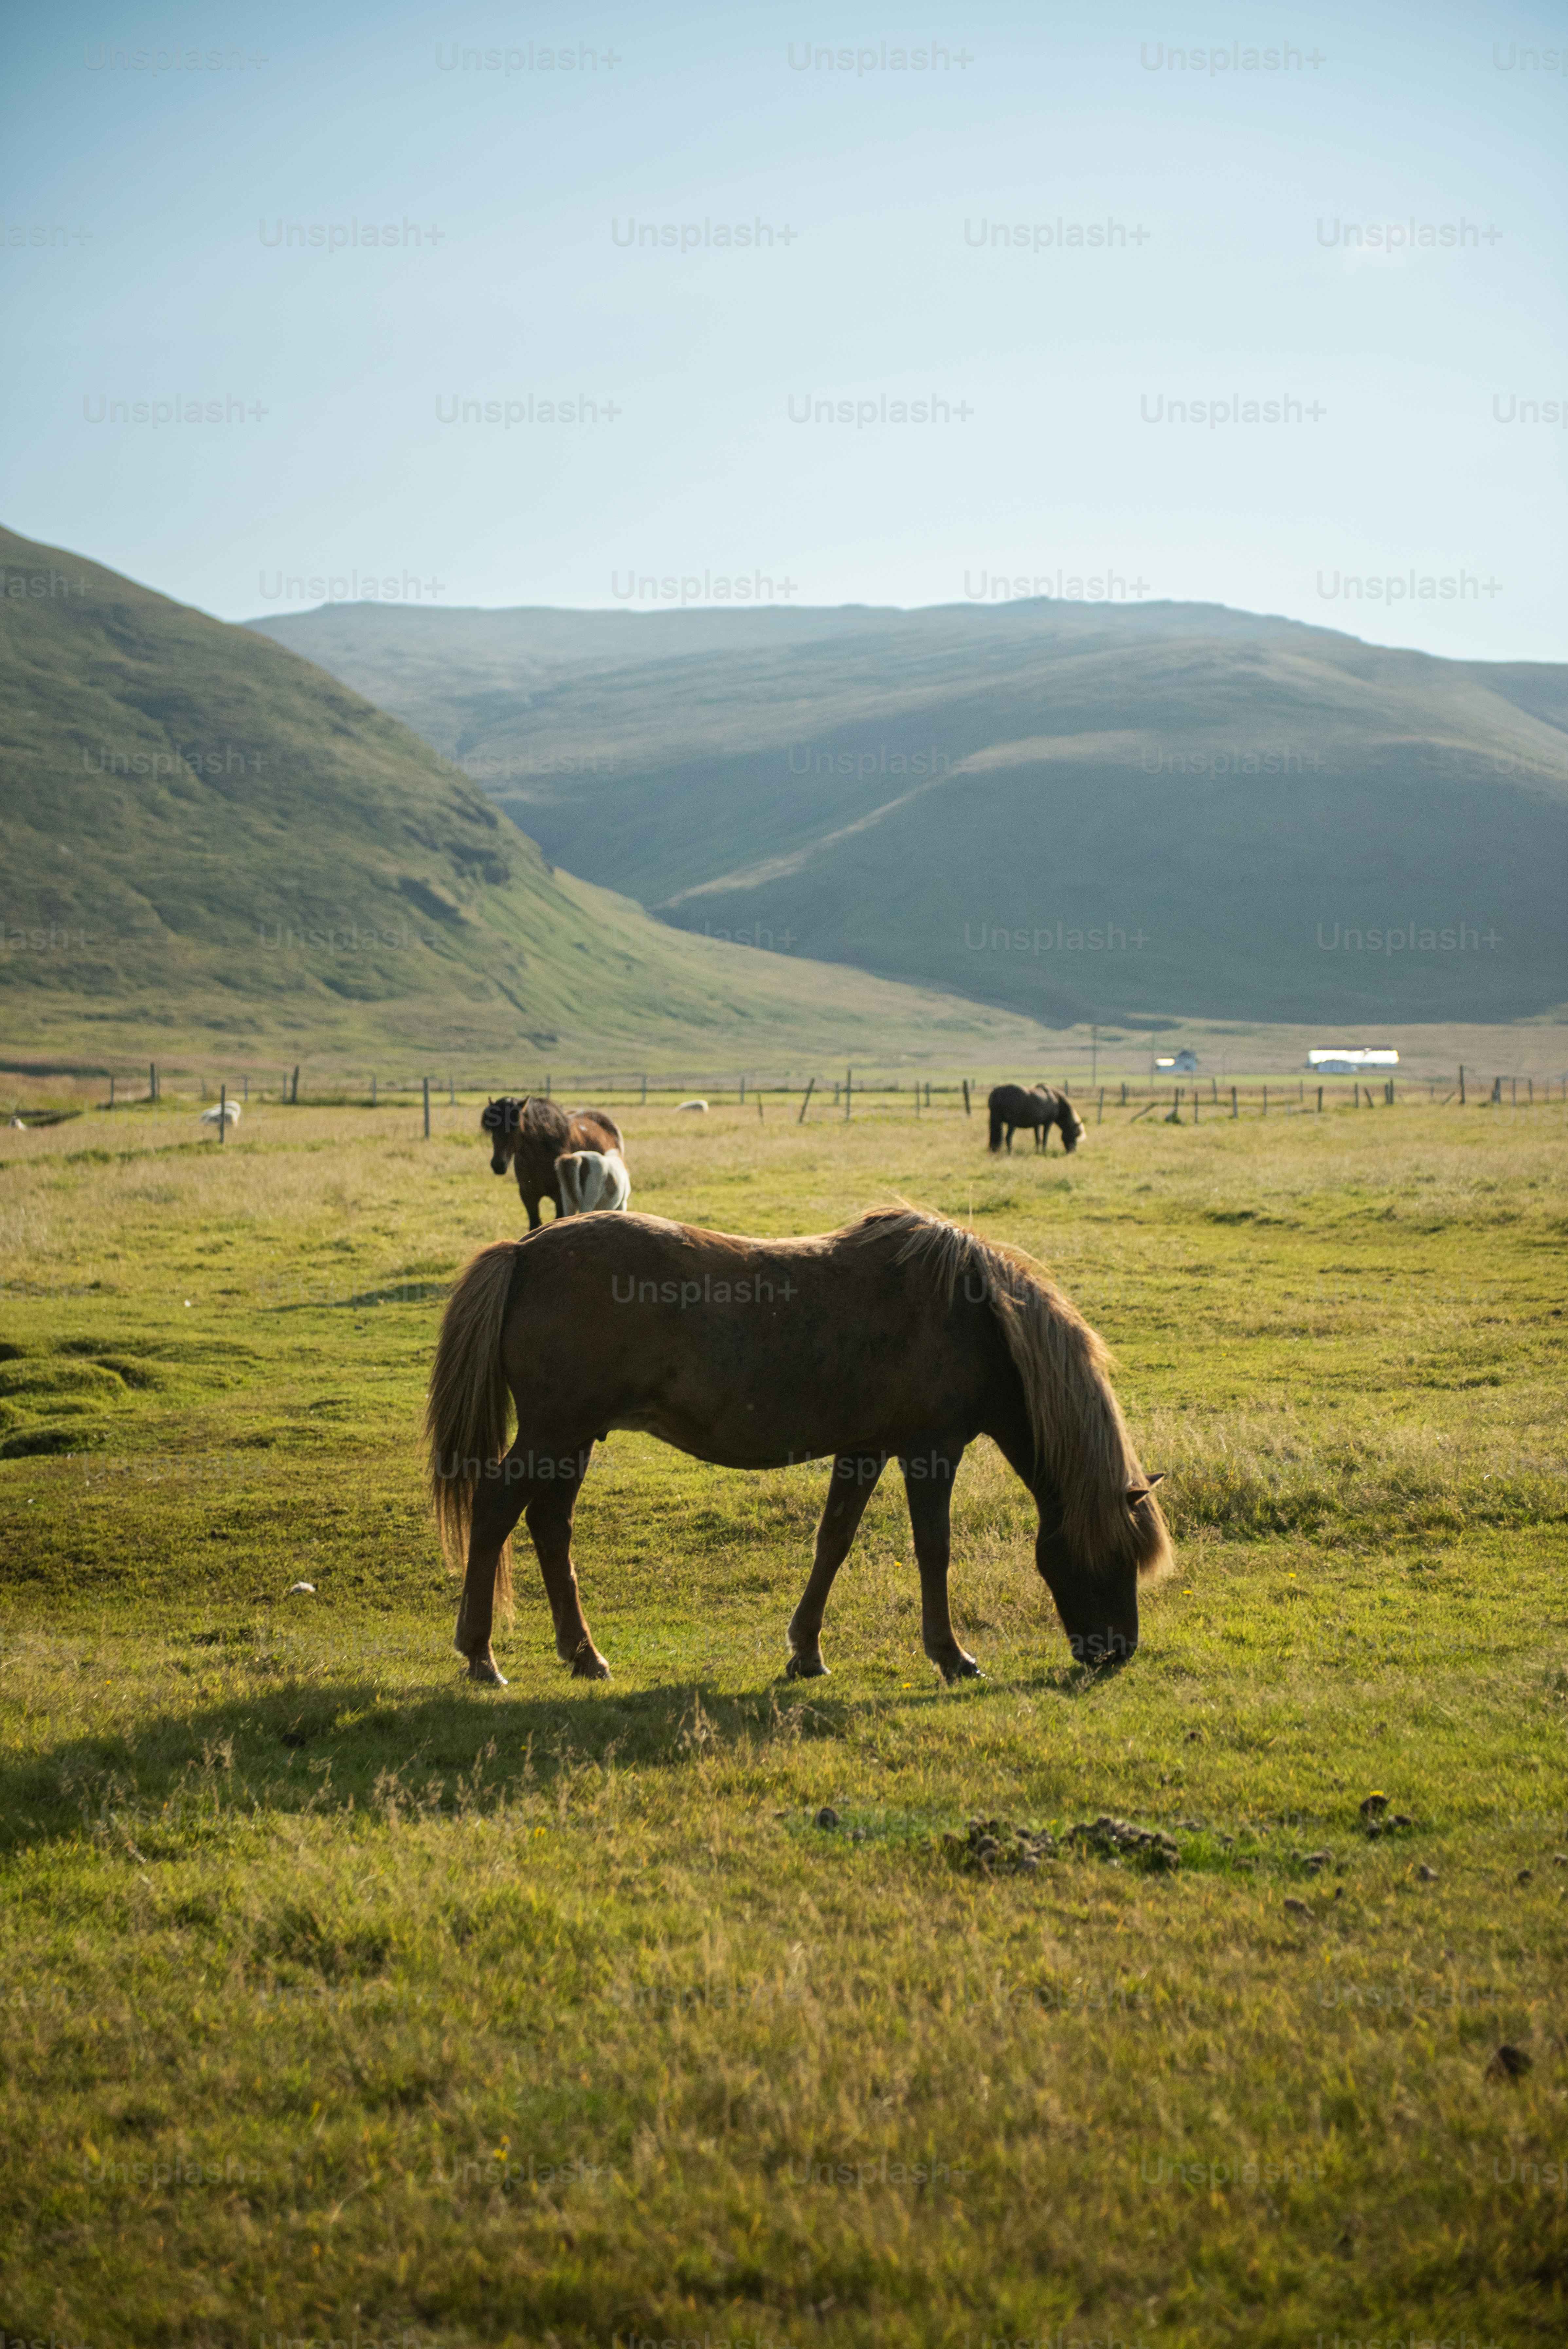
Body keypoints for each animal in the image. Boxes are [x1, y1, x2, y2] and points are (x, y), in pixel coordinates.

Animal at [424, 1204, 1170, 1687]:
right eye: (1114, 1556)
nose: (1117, 1651)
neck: (976, 1316)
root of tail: (524, 1252)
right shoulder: (930, 1451)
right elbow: (934, 1549)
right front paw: (950, 1655)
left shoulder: (864, 1450)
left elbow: (833, 1541)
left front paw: (806, 1653)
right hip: (552, 1433)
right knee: (495, 1512)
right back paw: (481, 1656)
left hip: (576, 1438)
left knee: (550, 1526)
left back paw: (584, 1655)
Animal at [988, 1083, 1085, 1155]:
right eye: (1075, 1135)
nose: (1072, 1152)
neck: (1055, 1099)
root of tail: (997, 1092)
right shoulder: (1048, 1123)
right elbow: (1045, 1138)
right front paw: (1044, 1152)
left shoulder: (1037, 1124)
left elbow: (1038, 1139)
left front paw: (1037, 1152)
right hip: (1012, 1124)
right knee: (1008, 1138)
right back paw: (1010, 1153)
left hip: (997, 1120)